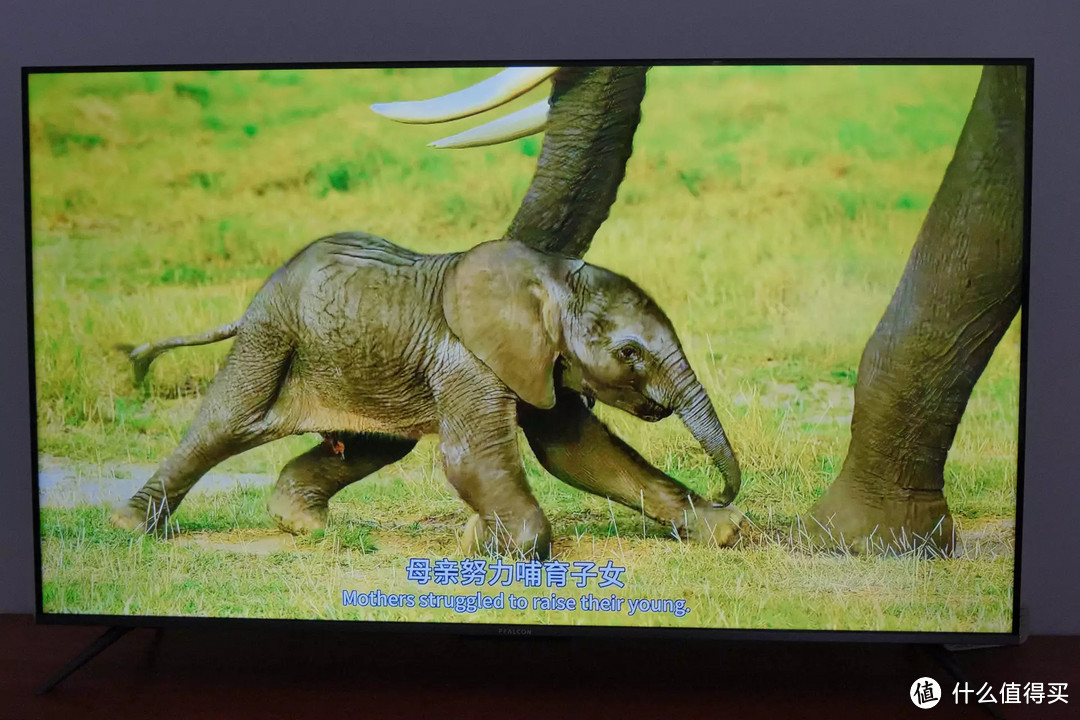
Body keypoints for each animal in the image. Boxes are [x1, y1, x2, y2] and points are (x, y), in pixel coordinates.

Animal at [111, 234, 743, 561]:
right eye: (631, 353)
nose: (721, 489)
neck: (549, 276)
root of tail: (250, 306)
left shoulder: (539, 358)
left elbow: (579, 454)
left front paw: (724, 531)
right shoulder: (469, 357)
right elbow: (473, 460)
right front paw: (487, 545)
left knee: (371, 447)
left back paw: (308, 527)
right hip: (272, 339)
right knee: (223, 425)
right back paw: (129, 528)